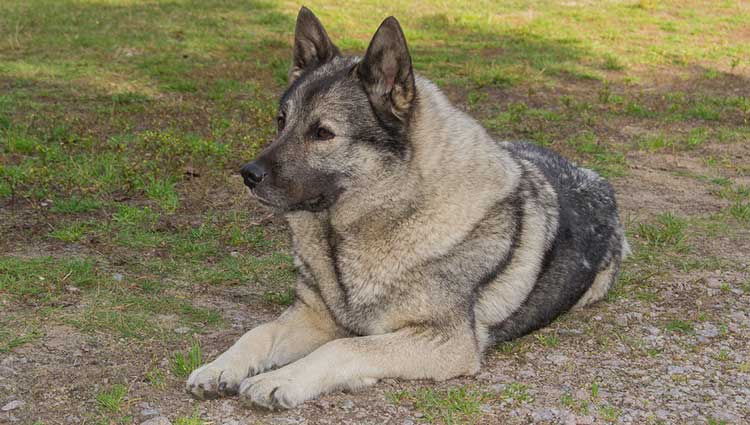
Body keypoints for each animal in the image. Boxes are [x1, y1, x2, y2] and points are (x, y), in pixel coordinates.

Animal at [187, 6, 628, 408]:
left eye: (323, 133)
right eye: (281, 122)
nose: (248, 174)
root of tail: (592, 175)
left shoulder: (447, 341)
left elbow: (345, 347)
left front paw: (281, 379)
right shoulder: (313, 315)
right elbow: (258, 332)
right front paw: (219, 367)